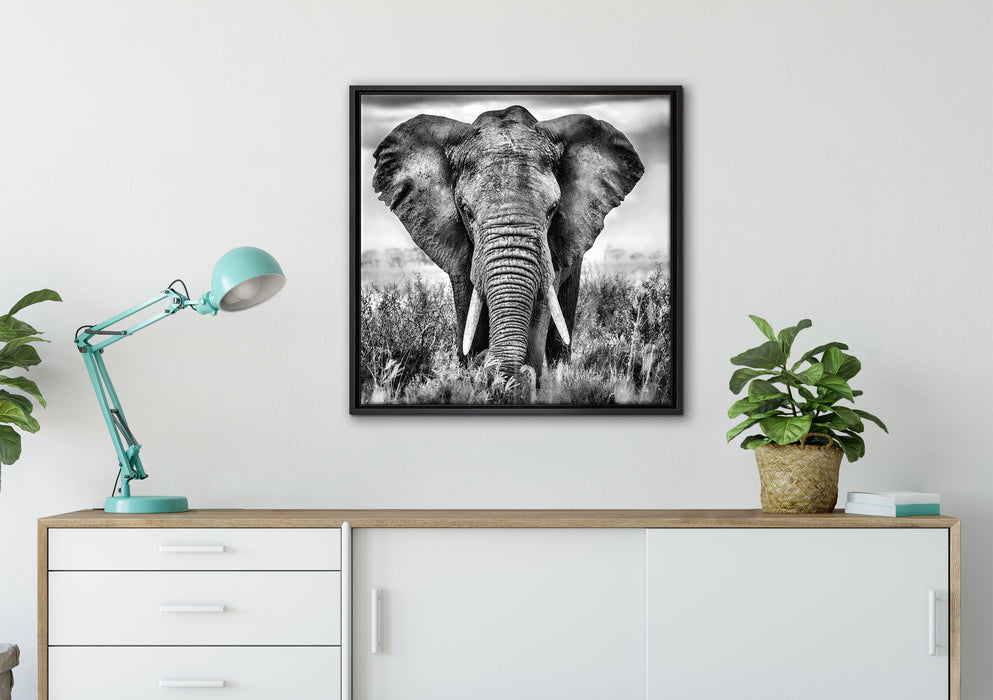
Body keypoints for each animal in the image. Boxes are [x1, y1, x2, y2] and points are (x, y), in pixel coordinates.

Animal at [372, 105, 644, 378]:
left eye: (552, 210)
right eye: (466, 211)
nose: (486, 361)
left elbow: (540, 307)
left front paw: (520, 379)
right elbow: (468, 311)